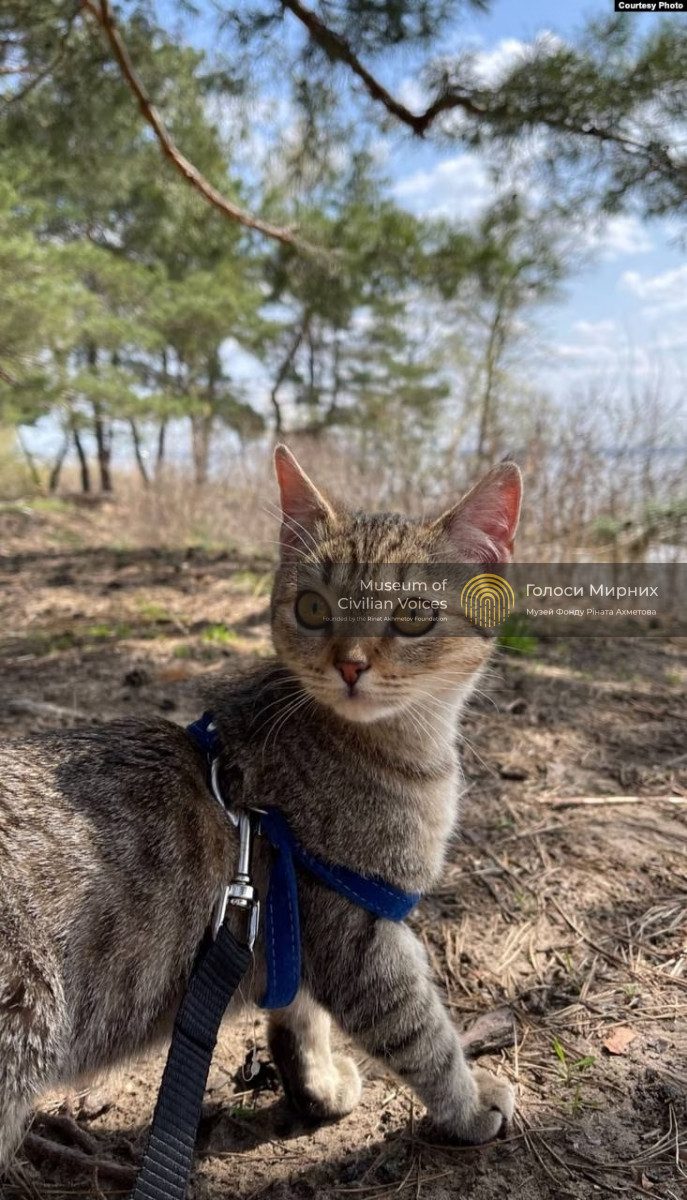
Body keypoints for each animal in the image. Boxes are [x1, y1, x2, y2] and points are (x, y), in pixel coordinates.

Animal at [0, 446, 521, 1166]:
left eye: (414, 615)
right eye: (312, 607)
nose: (350, 665)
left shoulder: (291, 926)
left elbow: (299, 1018)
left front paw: (317, 1086)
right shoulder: (354, 930)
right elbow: (421, 1033)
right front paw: (468, 1104)